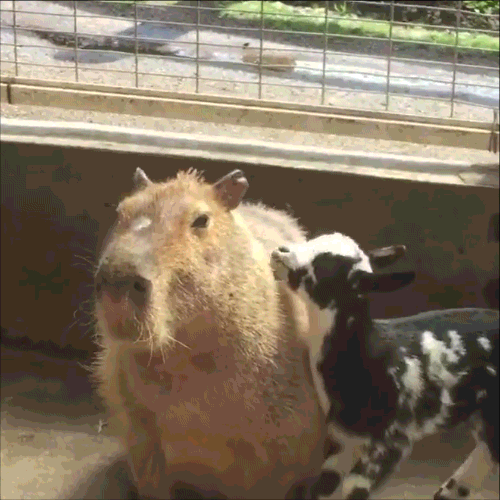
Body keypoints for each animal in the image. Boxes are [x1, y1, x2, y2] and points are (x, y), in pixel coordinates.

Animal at [272, 234, 498, 500]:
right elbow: (323, 487)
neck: (367, 357)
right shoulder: (344, 441)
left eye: (324, 265)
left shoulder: (391, 442)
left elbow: (353, 488)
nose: (279, 252)